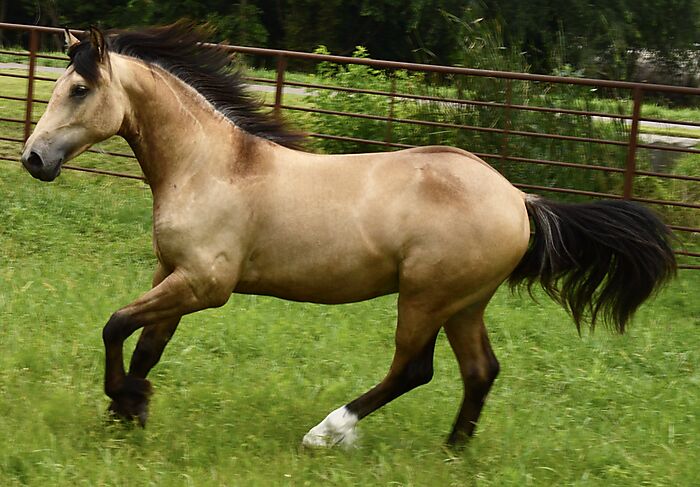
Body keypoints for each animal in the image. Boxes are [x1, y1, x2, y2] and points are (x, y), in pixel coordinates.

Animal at [20, 23, 676, 448]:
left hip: (425, 297)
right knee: (480, 371)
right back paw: (453, 451)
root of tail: (519, 199)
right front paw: (126, 412)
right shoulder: (172, 274)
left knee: (413, 370)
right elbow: (146, 346)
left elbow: (116, 326)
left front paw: (124, 403)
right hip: (466, 303)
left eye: (80, 89)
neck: (210, 166)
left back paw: (326, 432)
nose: (33, 159)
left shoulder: (205, 284)